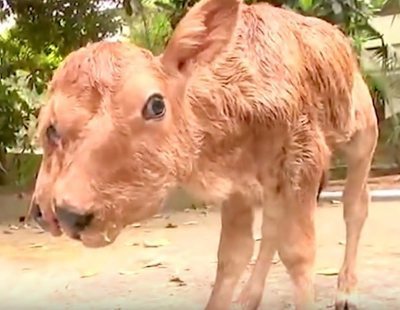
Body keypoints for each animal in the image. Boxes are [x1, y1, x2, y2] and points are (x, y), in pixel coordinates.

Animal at [32, 0, 378, 310]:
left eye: (156, 104)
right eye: (52, 129)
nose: (70, 213)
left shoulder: (303, 158)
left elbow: (299, 253)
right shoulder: (239, 186)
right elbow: (232, 256)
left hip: (363, 134)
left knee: (356, 205)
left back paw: (346, 291)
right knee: (271, 227)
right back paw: (250, 296)